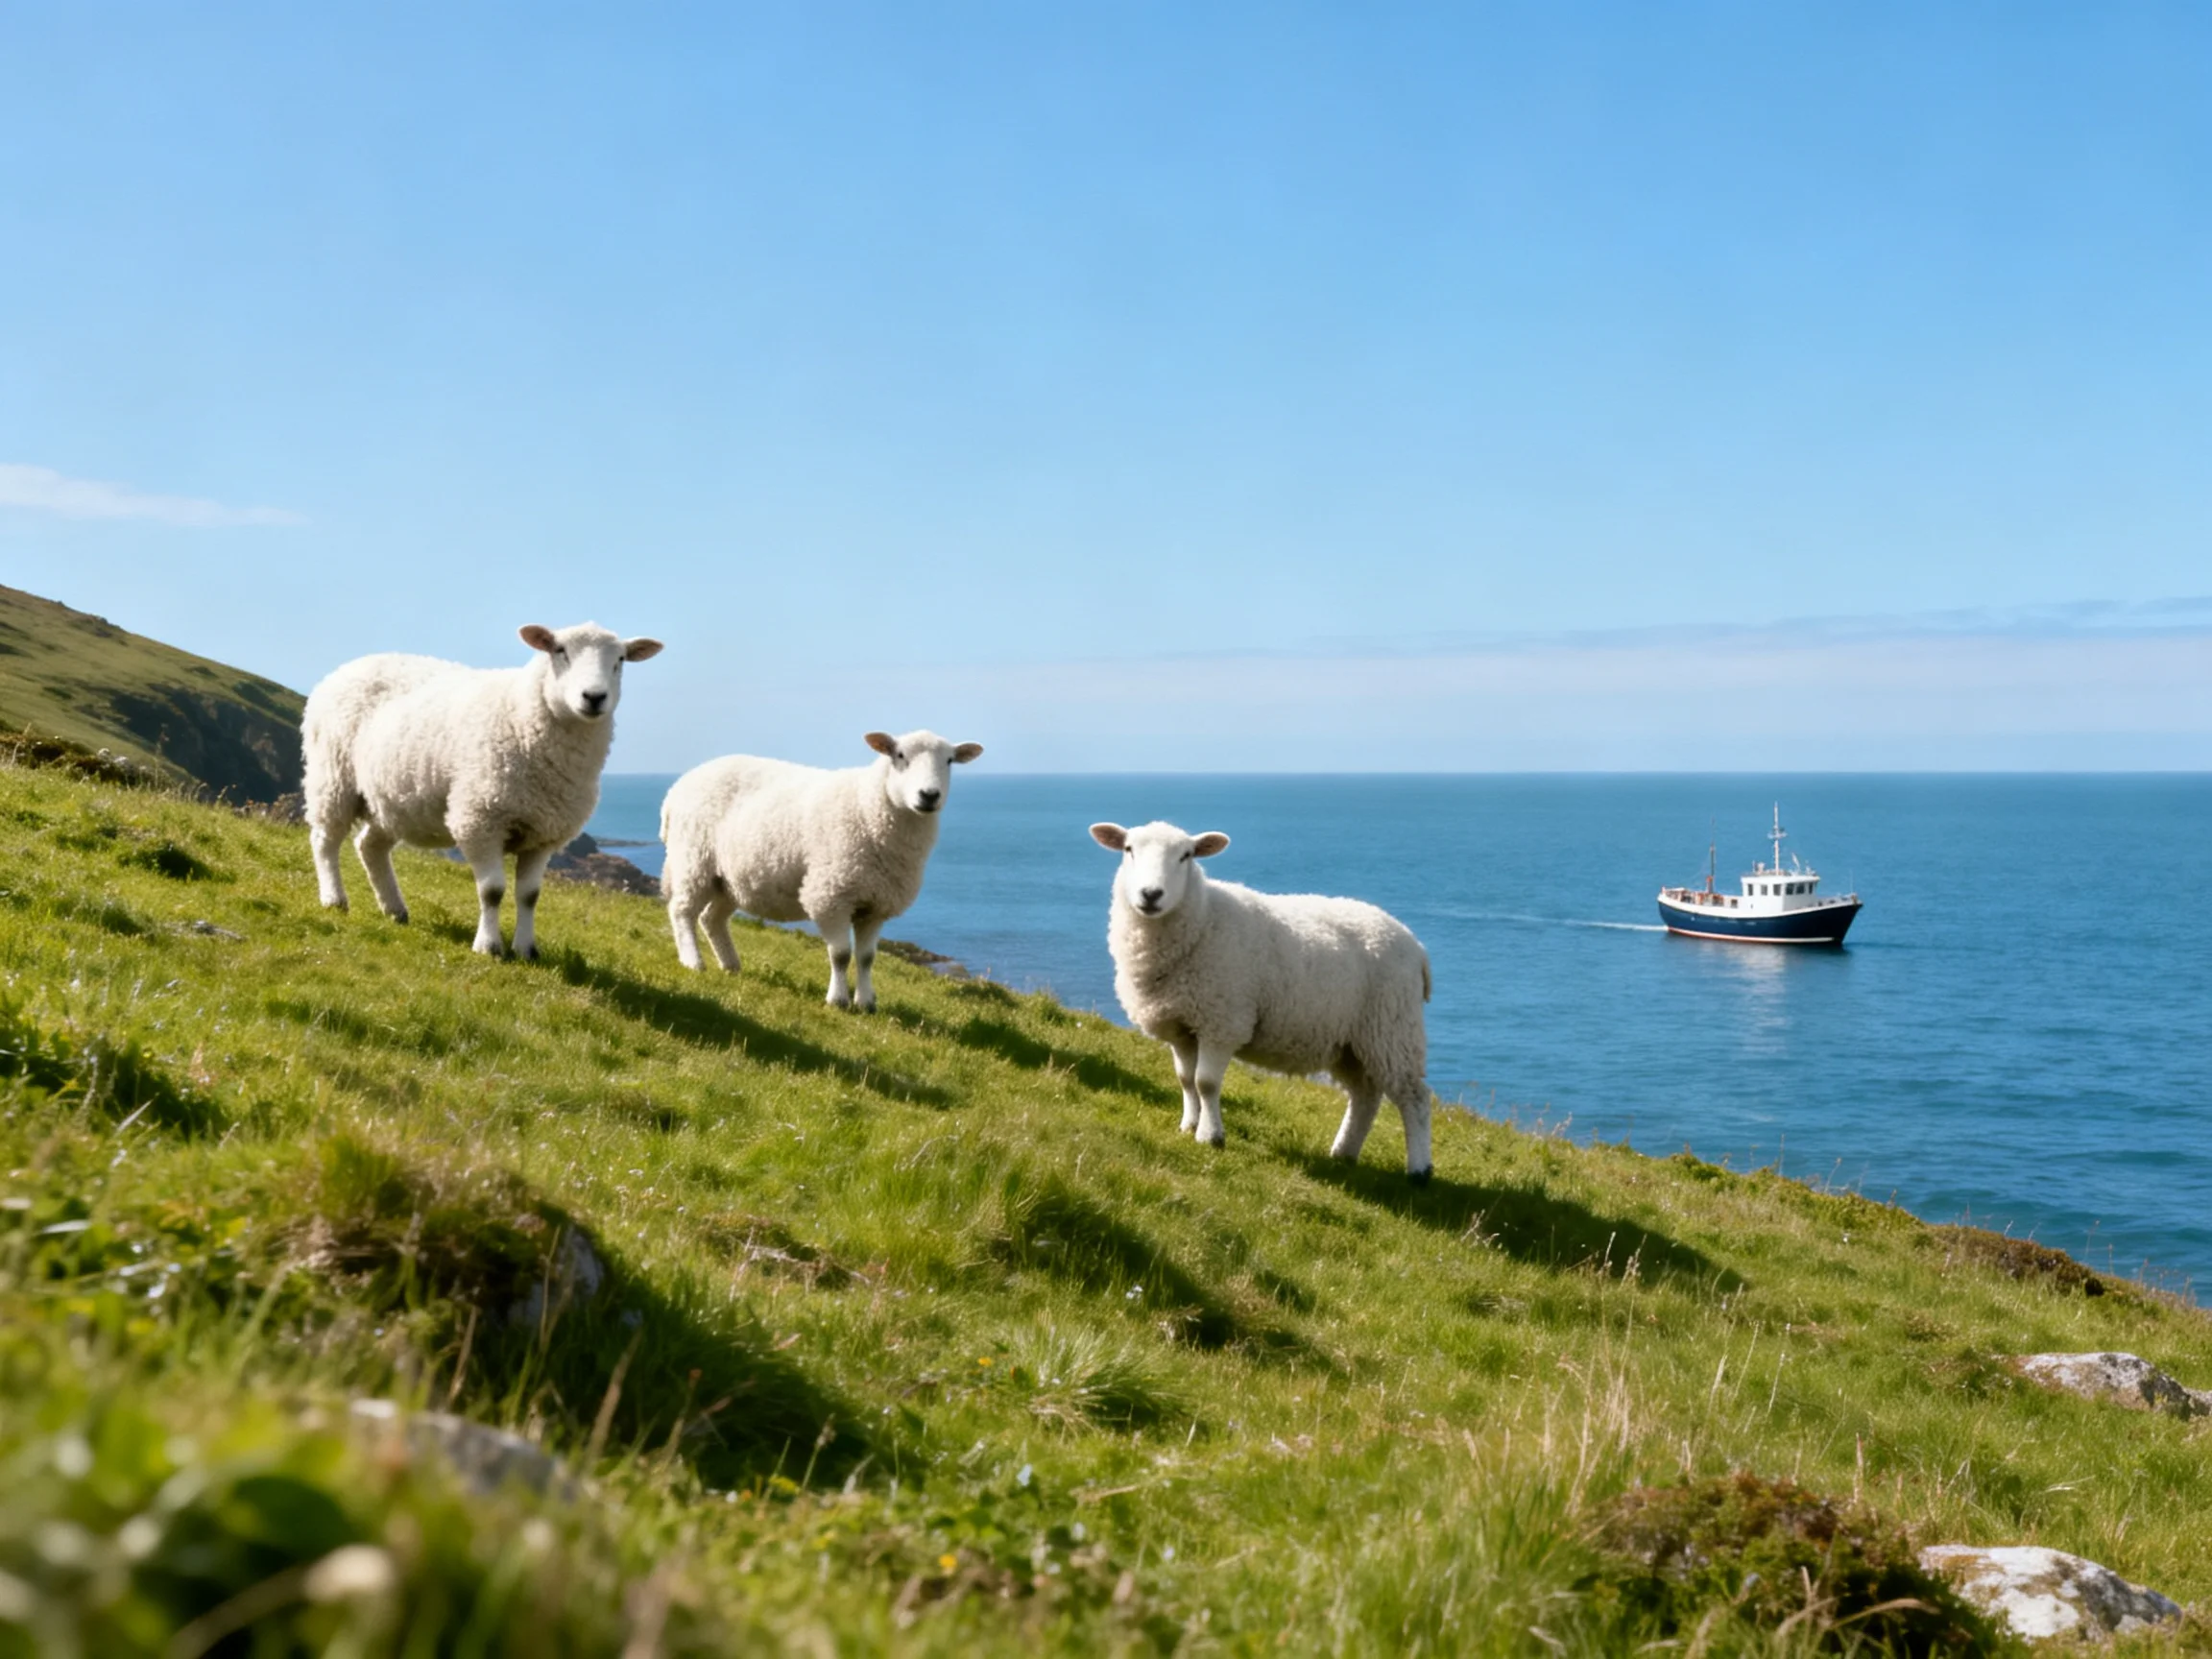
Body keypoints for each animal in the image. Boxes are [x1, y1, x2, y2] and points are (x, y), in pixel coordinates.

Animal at [302, 622, 664, 959]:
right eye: (559, 650)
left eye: (620, 659)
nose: (594, 697)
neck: (523, 717)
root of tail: (348, 666)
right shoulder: (480, 820)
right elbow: (492, 891)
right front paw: (489, 946)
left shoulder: (543, 833)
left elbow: (529, 896)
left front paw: (526, 949)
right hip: (332, 777)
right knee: (325, 839)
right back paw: (334, 899)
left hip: (392, 801)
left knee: (370, 846)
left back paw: (394, 909)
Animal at [660, 729, 983, 1010]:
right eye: (900, 755)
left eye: (949, 760)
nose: (929, 795)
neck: (869, 808)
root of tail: (678, 787)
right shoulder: (831, 894)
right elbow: (841, 955)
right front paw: (838, 1000)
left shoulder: (875, 904)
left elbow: (867, 958)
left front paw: (866, 1003)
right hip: (693, 859)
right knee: (682, 911)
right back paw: (693, 962)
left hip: (729, 878)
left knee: (711, 918)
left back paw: (730, 965)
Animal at [1089, 820, 1434, 1181]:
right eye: (1128, 849)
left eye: (1186, 855)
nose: (1151, 894)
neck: (1204, 918)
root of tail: (1416, 946)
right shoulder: (1183, 1025)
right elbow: (1185, 1080)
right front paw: (1188, 1125)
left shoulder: (1222, 1021)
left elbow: (1206, 1082)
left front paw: (1210, 1136)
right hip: (1352, 1043)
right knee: (1365, 1097)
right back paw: (1343, 1153)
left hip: (1392, 1028)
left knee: (1415, 1098)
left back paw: (1419, 1171)